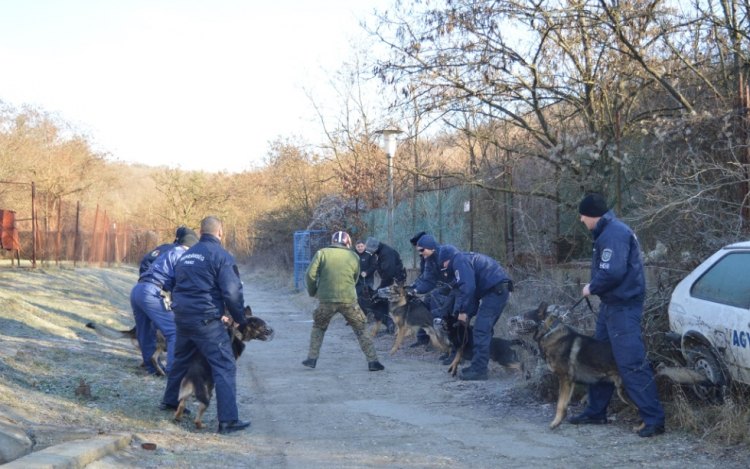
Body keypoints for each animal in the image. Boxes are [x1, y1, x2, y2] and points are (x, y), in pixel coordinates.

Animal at [512, 302, 712, 430]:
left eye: (525, 316)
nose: (512, 320)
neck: (549, 331)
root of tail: (649, 361)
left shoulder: (564, 380)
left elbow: (560, 404)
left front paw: (555, 423)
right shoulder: (571, 383)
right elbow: (565, 403)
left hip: (626, 393)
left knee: (646, 407)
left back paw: (645, 427)